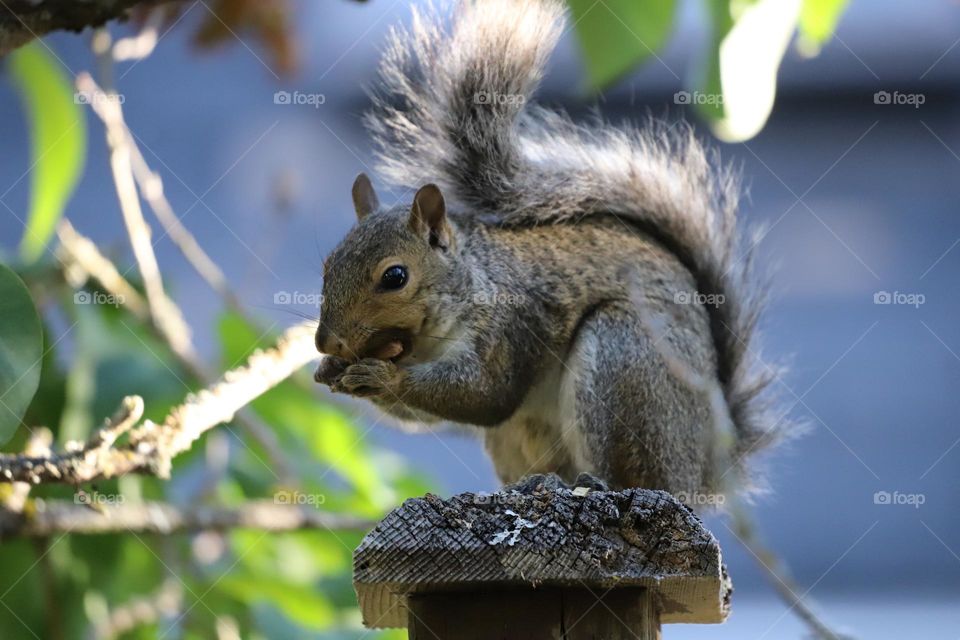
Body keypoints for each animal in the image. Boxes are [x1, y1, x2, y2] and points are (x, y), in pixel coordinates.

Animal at [314, 0, 788, 500]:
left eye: (395, 277)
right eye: (328, 265)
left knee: (634, 475)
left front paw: (383, 377)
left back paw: (596, 483)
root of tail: (705, 469)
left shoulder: (511, 324)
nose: (326, 341)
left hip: (625, 362)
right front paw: (331, 368)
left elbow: (485, 394)